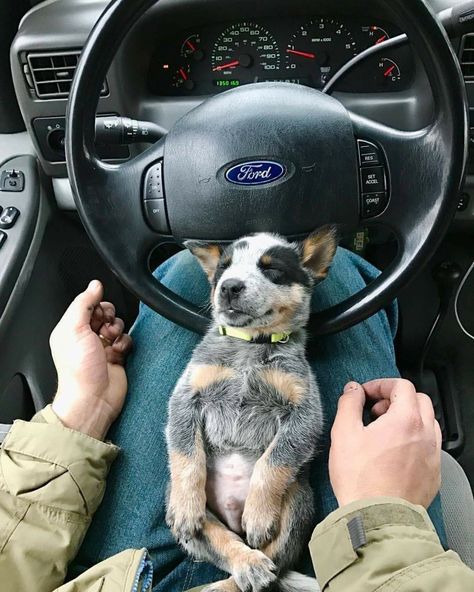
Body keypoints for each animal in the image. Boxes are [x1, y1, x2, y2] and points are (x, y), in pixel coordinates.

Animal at [166, 225, 336, 592]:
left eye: (272, 270)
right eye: (222, 269)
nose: (229, 286)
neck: (248, 347)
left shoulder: (305, 414)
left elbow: (271, 464)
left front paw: (257, 515)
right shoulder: (185, 398)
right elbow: (187, 458)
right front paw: (186, 507)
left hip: (297, 505)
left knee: (274, 563)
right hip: (198, 524)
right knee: (224, 542)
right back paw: (244, 566)